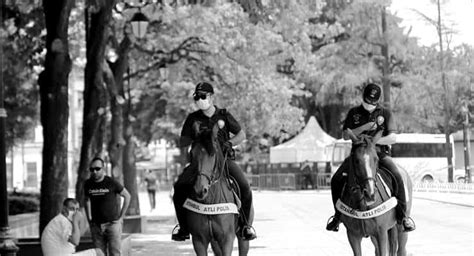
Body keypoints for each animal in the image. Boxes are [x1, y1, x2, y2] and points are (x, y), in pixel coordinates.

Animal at [185, 123, 252, 255]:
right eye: (192, 154)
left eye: (212, 154)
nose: (200, 189)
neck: (210, 202)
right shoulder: (199, 241)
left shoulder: (227, 239)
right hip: (214, 242)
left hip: (242, 237)